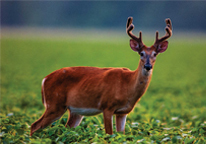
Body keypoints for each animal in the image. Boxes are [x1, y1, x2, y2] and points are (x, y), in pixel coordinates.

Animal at [30, 17, 172, 136]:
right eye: (141, 53)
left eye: (155, 54)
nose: (148, 66)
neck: (128, 86)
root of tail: (45, 79)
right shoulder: (107, 106)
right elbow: (109, 134)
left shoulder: (123, 112)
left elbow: (121, 135)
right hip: (54, 104)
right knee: (34, 125)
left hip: (74, 111)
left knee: (66, 129)